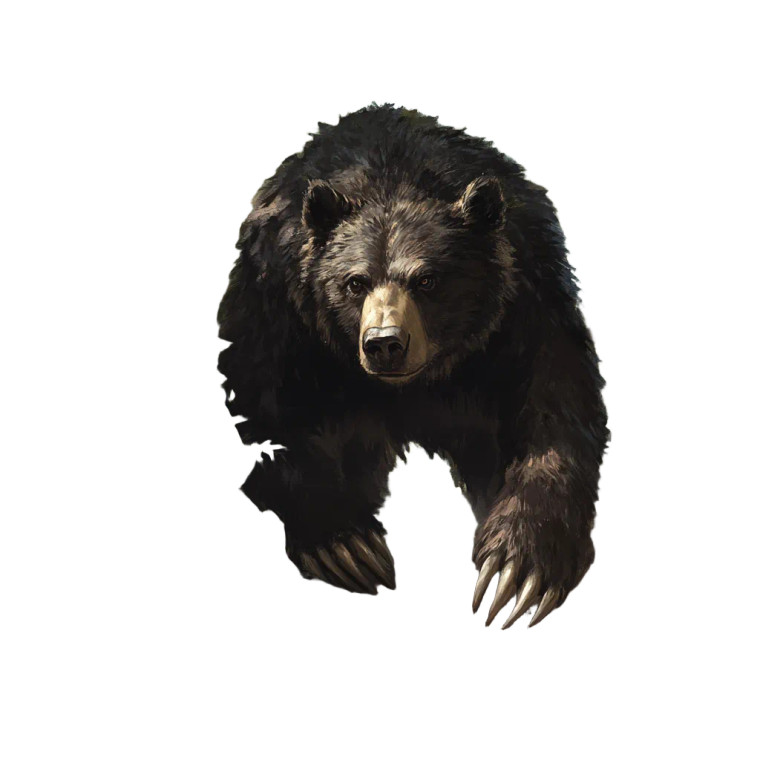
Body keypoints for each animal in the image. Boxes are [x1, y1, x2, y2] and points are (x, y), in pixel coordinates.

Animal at [218, 104, 609, 629]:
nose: (385, 343)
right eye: (354, 282)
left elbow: (559, 403)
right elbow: (262, 408)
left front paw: (520, 568)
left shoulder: (526, 303)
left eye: (428, 280)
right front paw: (345, 544)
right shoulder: (278, 304)